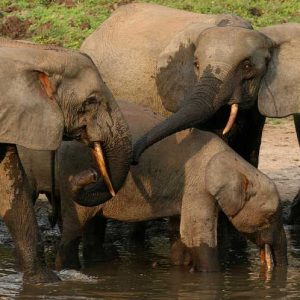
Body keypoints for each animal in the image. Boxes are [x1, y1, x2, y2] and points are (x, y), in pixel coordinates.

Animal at [17, 101, 288, 272]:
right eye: (270, 215)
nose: (274, 274)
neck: (237, 164)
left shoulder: (187, 190)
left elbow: (180, 233)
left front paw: (183, 269)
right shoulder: (198, 187)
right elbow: (196, 235)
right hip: (72, 171)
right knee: (75, 227)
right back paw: (69, 269)